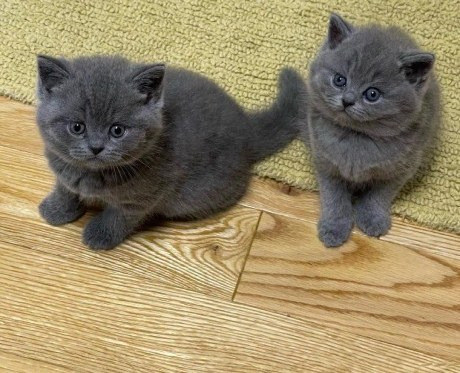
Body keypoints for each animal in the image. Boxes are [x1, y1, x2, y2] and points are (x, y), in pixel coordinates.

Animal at [36, 53, 306, 248]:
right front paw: (56, 210)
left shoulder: (143, 197)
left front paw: (100, 235)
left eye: (117, 130)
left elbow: (119, 216)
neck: (91, 173)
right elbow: (65, 190)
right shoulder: (63, 169)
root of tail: (247, 128)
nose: (96, 147)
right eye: (77, 127)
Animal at [304, 13, 440, 247]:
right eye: (339, 80)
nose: (347, 100)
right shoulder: (325, 163)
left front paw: (373, 219)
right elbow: (333, 197)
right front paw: (333, 227)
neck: (356, 136)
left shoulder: (400, 169)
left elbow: (379, 196)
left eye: (372, 94)